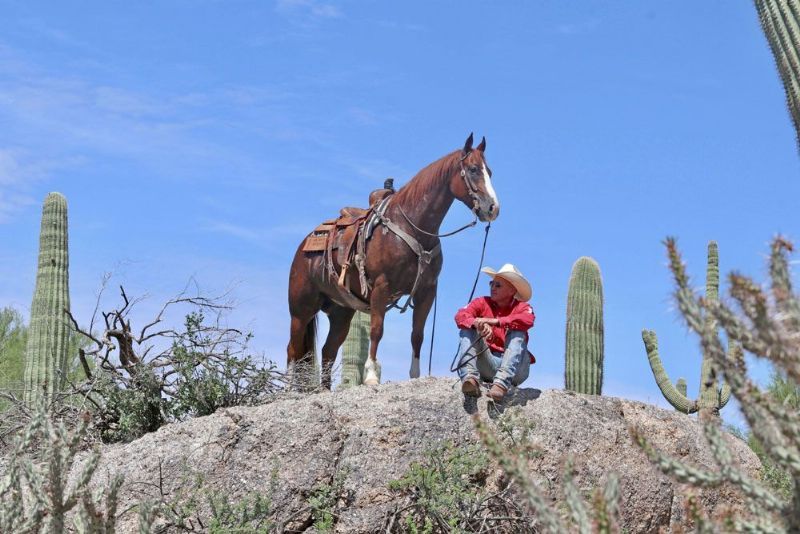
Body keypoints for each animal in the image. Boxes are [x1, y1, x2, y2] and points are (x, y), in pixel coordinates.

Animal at [287, 133, 500, 389]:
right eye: (473, 169)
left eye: (490, 171)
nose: (492, 208)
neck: (412, 226)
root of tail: (303, 245)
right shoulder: (381, 287)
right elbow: (377, 330)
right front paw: (371, 376)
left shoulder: (426, 292)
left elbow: (417, 335)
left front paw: (415, 376)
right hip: (301, 310)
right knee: (293, 349)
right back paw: (288, 389)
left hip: (341, 313)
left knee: (328, 350)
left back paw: (323, 391)